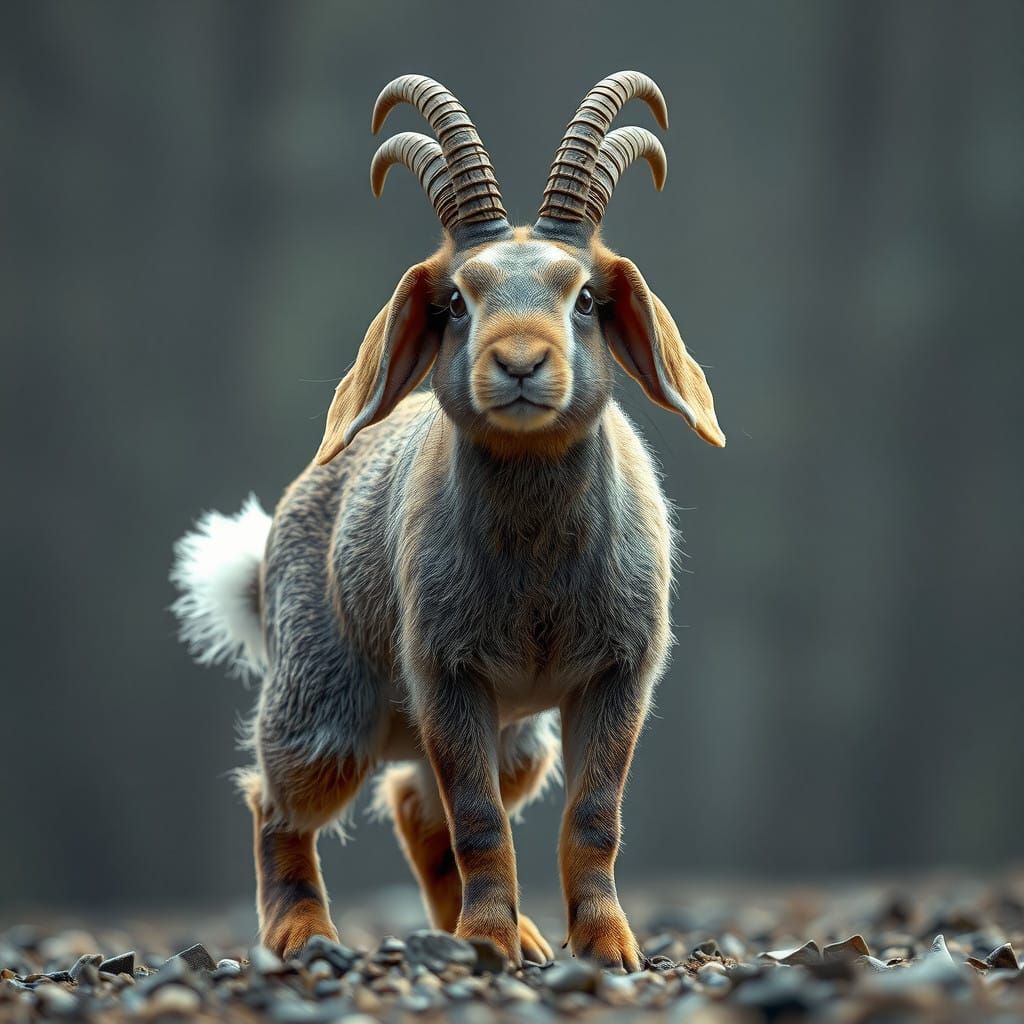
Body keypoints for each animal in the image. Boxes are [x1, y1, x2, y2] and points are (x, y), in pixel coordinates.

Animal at [172, 71, 725, 970]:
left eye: (585, 297)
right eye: (458, 302)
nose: (521, 362)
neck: (536, 548)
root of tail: (260, 564)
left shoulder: (619, 675)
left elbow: (592, 818)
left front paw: (606, 949)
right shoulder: (447, 676)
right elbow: (479, 823)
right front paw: (490, 947)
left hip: (517, 741)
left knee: (411, 800)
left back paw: (513, 936)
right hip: (326, 718)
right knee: (278, 804)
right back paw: (307, 936)